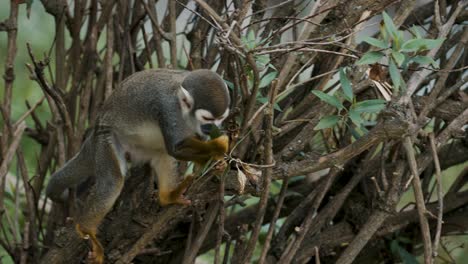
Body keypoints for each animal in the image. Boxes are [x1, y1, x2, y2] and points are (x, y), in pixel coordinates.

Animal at [45, 69, 230, 262]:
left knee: (161, 154)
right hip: (106, 139)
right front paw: (218, 148)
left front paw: (216, 157)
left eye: (220, 119)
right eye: (207, 118)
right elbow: (176, 148)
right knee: (112, 182)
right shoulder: (168, 109)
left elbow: (178, 148)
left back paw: (168, 196)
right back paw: (86, 229)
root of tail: (94, 132)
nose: (212, 128)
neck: (185, 114)